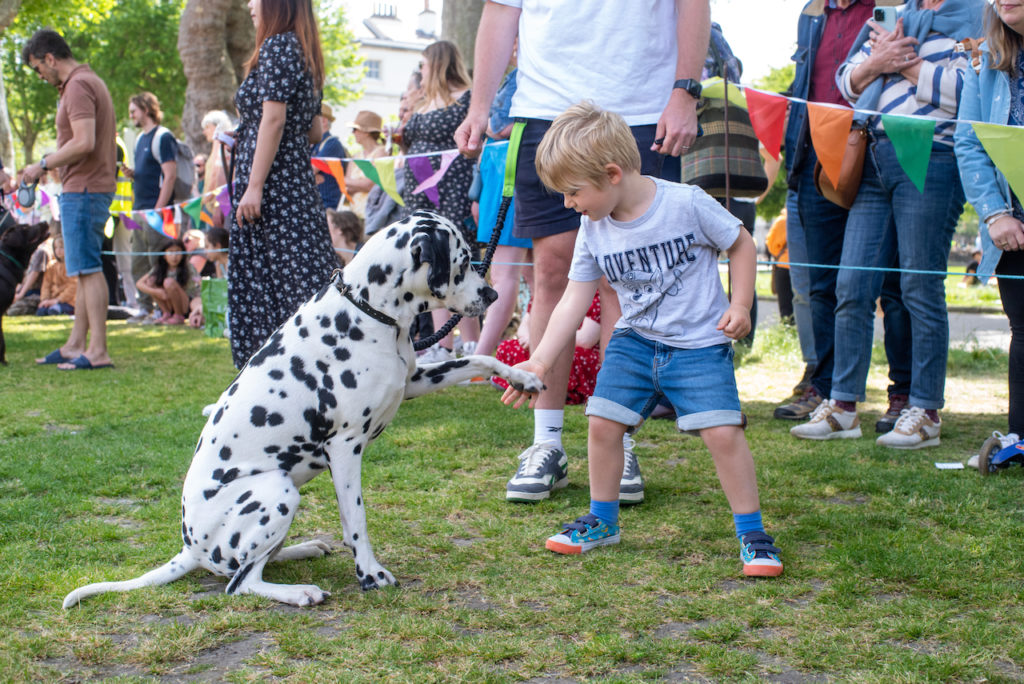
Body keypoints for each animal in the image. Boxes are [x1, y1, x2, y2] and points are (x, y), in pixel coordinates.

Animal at [64, 210, 544, 606]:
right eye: (462, 262)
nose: (493, 294)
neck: (370, 313)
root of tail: (189, 549)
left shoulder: (413, 381)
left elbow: (479, 360)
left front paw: (523, 378)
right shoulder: (346, 447)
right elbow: (357, 520)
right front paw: (370, 574)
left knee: (258, 563)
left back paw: (303, 549)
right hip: (278, 492)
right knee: (241, 583)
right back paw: (299, 593)